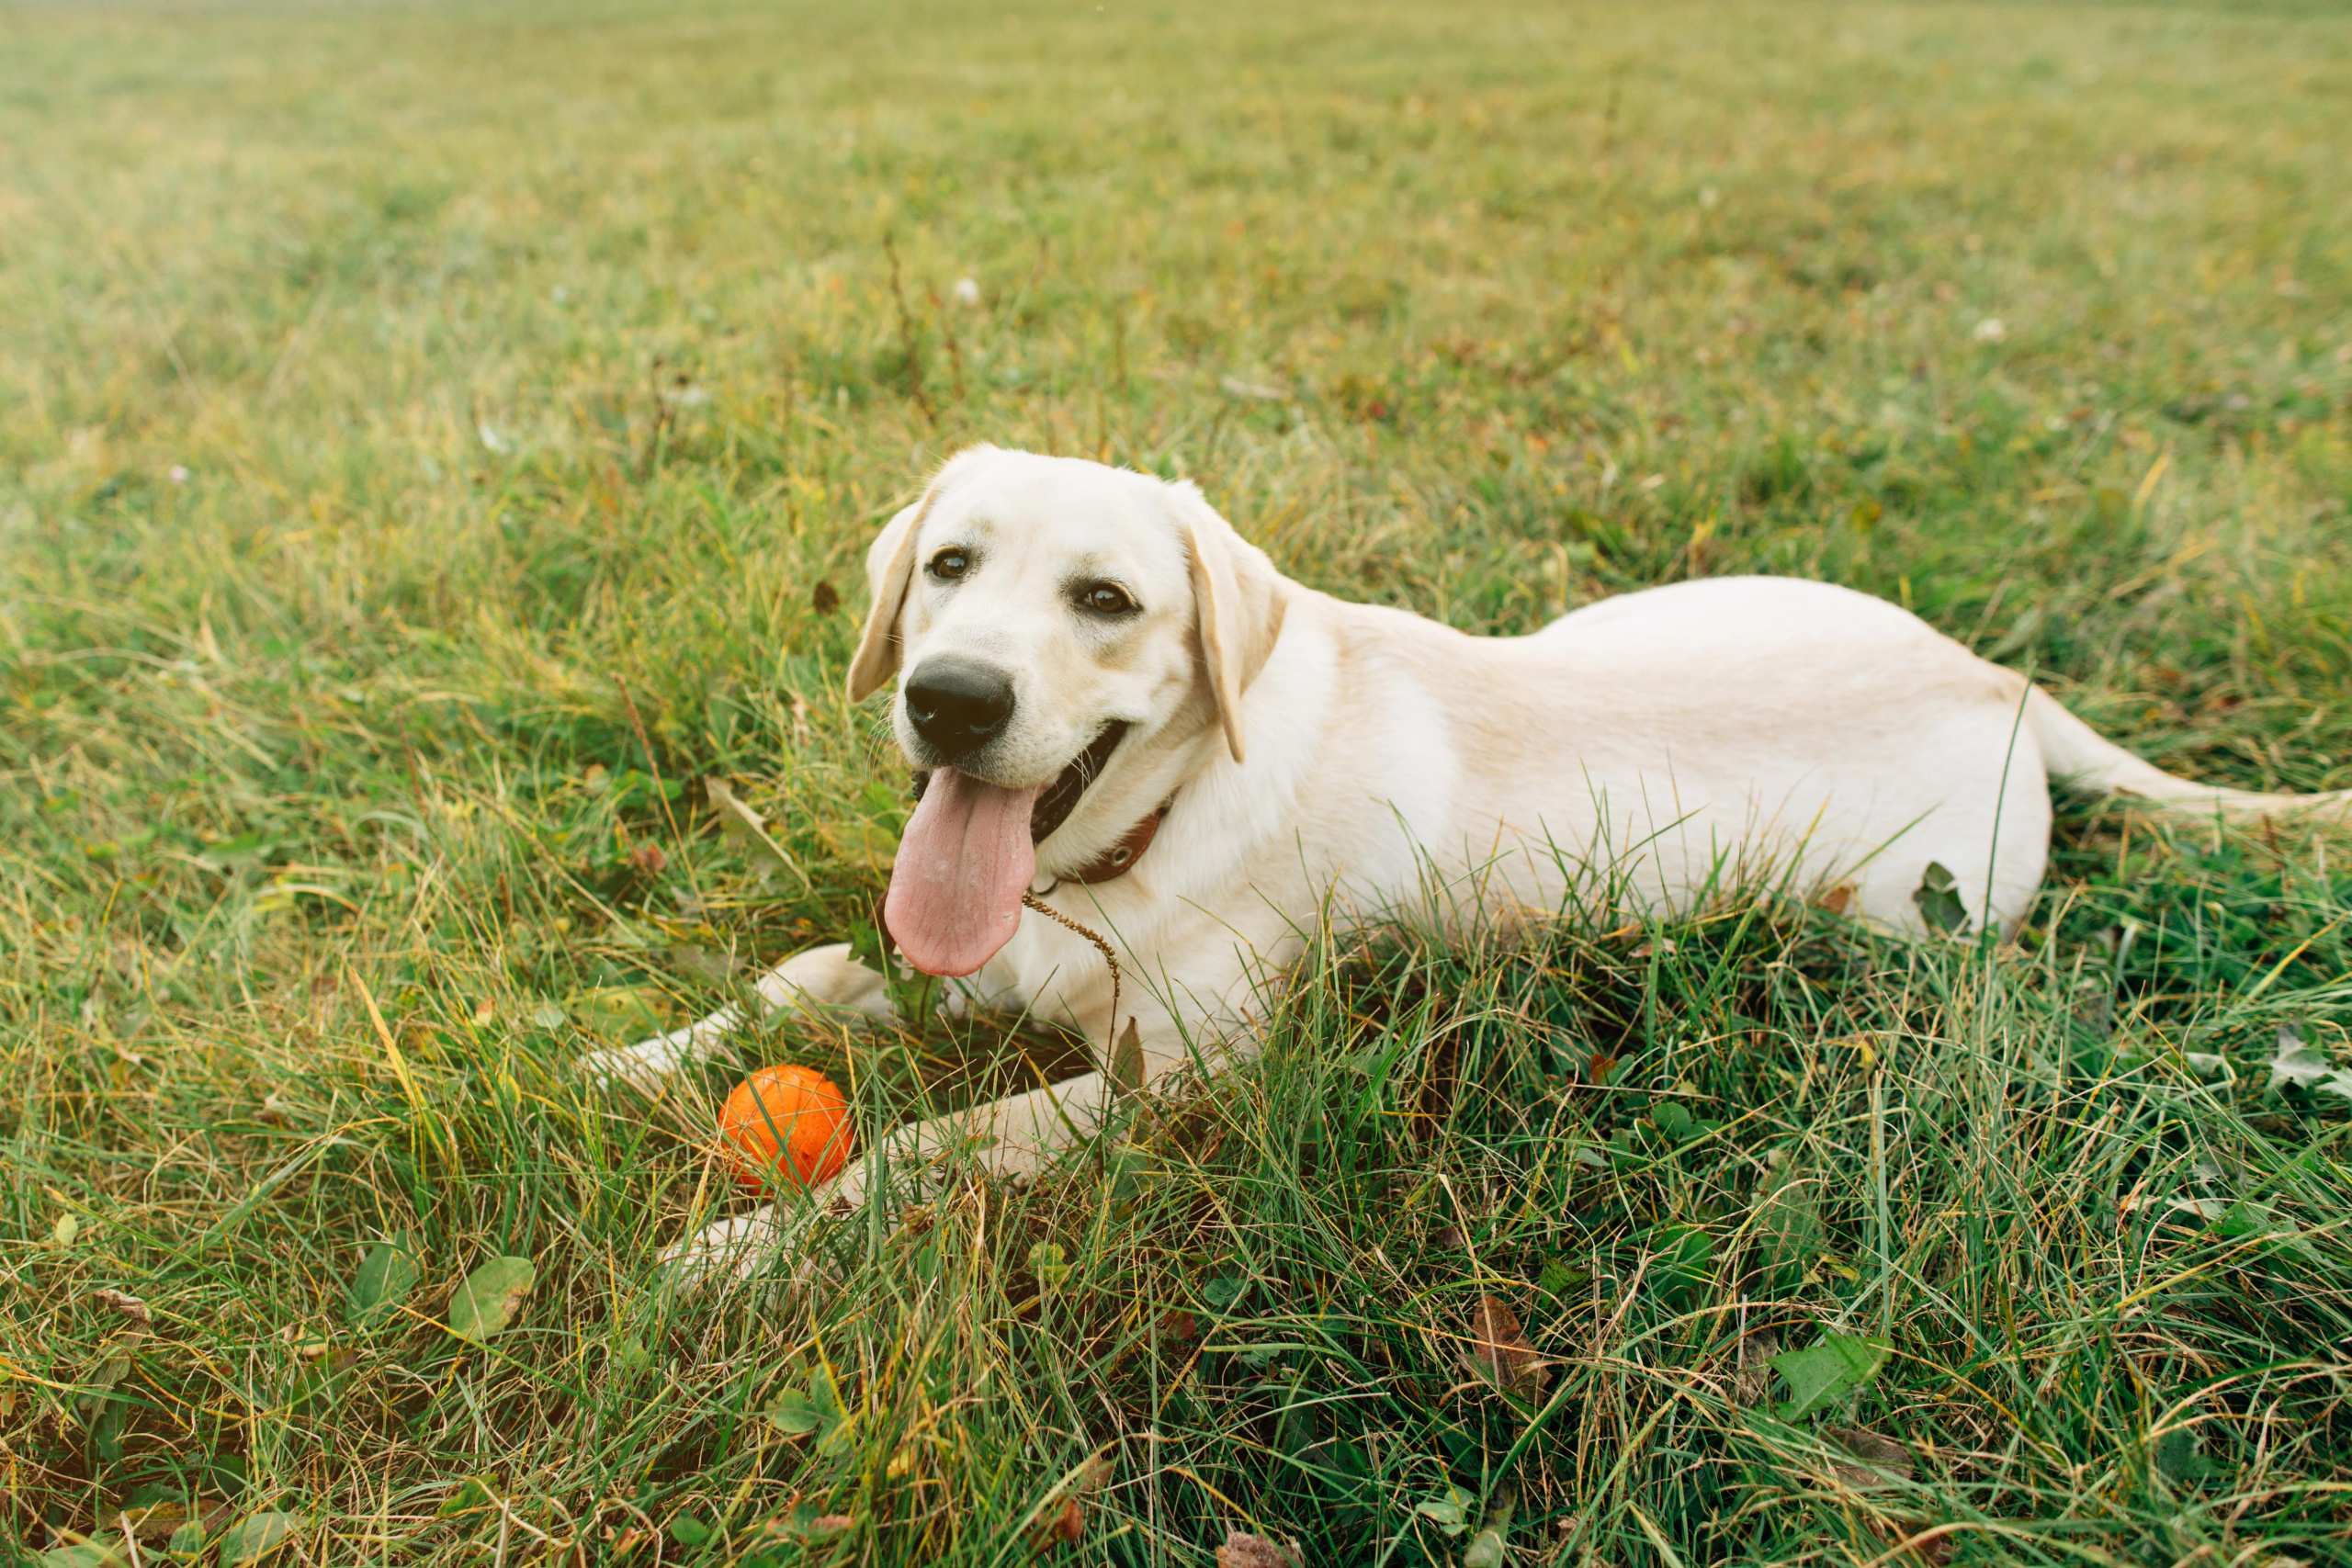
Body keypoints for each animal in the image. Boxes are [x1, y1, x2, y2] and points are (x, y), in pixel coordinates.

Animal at [602, 446, 2333, 1279]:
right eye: (949, 565)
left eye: (1105, 601)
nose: (950, 698)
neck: (1114, 860)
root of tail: (2004, 680)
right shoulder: (969, 955)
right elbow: (810, 972)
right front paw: (630, 1056)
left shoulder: (1181, 1086)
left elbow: (927, 1147)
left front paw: (740, 1250)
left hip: (1899, 917)